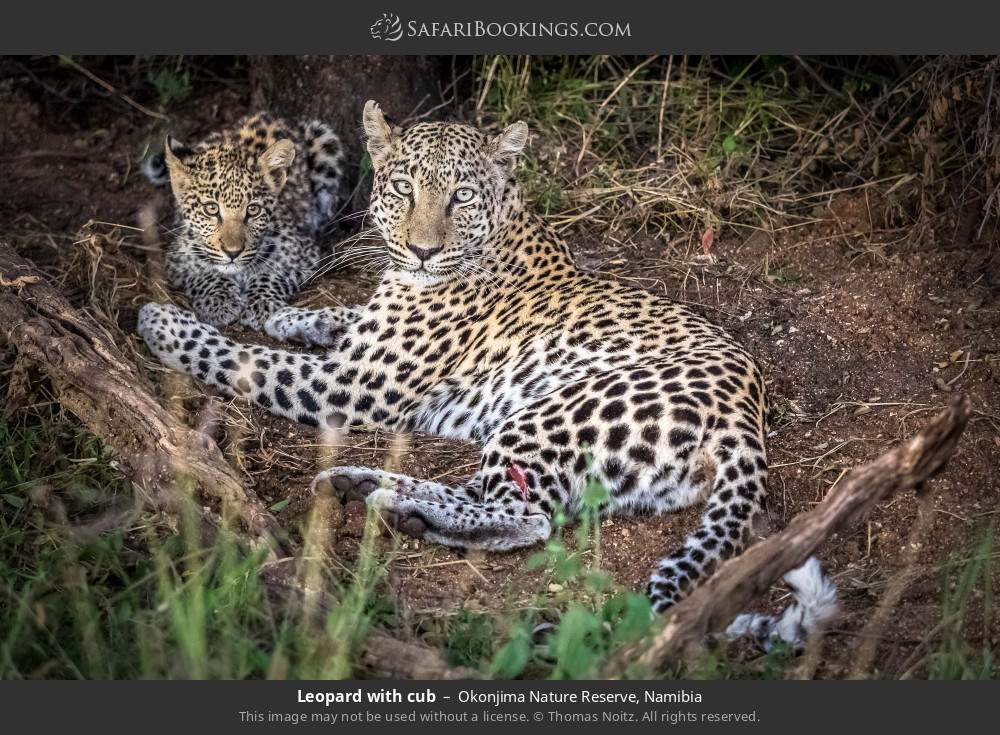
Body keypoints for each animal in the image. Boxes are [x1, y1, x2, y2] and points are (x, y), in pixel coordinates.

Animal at [135, 100, 836, 640]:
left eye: (461, 196)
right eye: (404, 189)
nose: (422, 250)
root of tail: (748, 412)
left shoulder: (353, 383)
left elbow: (246, 359)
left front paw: (162, 321)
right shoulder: (361, 343)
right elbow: (334, 318)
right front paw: (289, 314)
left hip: (552, 414)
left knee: (528, 516)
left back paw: (396, 505)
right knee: (499, 497)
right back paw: (368, 488)